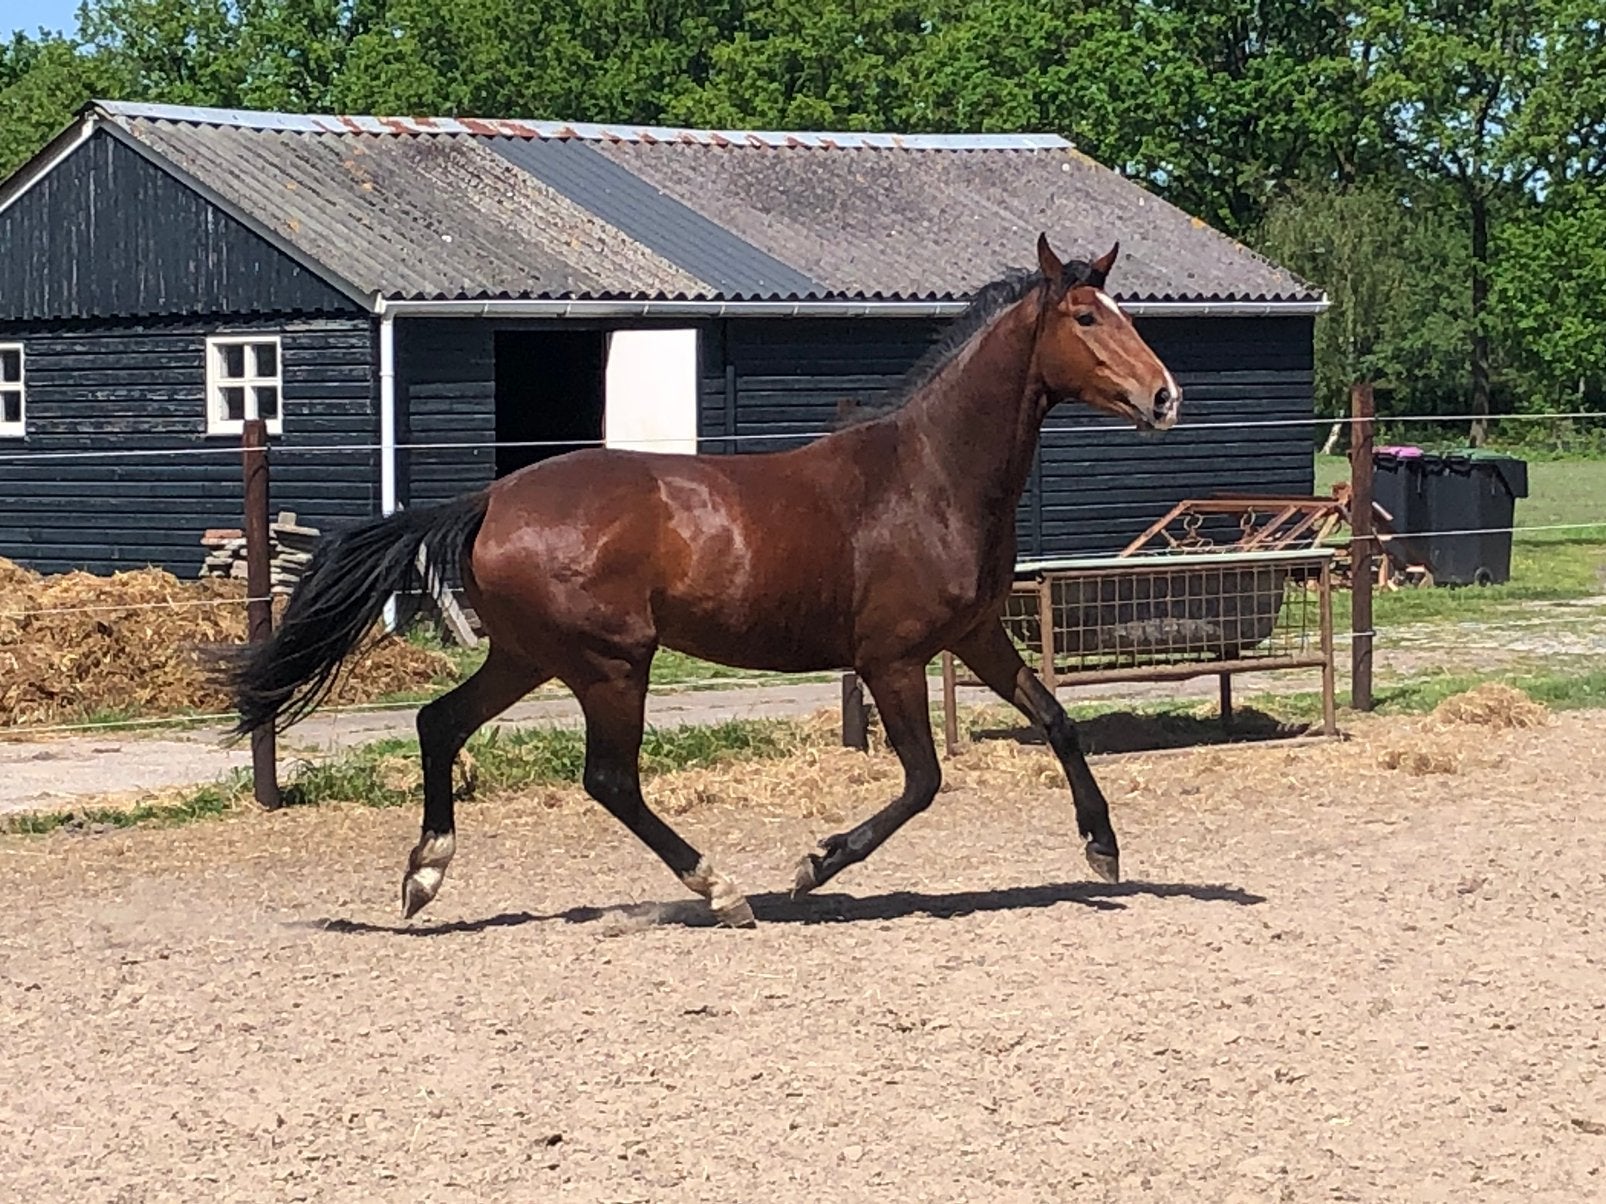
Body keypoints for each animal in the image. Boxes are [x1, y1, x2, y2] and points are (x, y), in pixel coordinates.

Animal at [222, 234, 1181, 928]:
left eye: (1122, 310)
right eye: (1086, 318)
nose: (1165, 396)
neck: (930, 476)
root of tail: (491, 499)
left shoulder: (976, 635)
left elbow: (1057, 721)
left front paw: (1104, 850)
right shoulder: (892, 661)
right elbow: (923, 781)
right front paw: (813, 865)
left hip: (530, 657)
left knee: (439, 724)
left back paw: (425, 879)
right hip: (612, 664)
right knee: (608, 780)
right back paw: (722, 889)